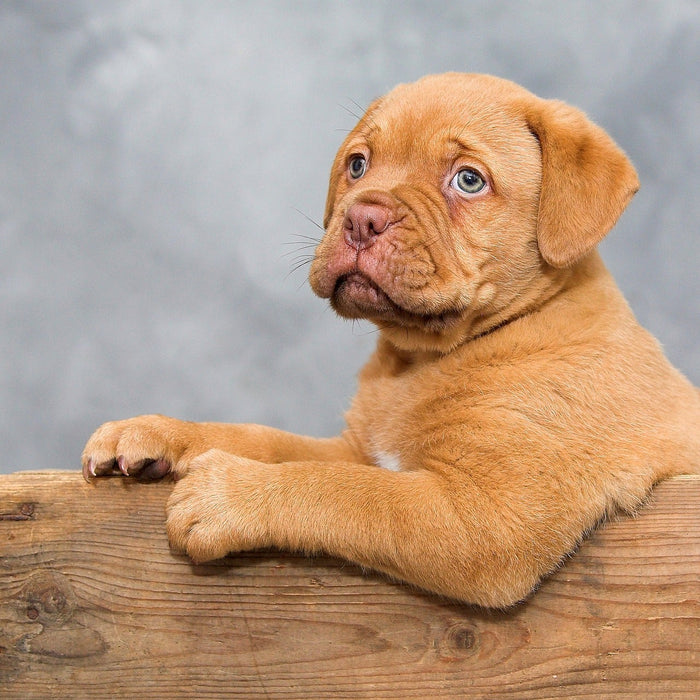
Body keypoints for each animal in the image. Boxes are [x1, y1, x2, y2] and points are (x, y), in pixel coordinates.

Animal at [83, 72, 700, 608]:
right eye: (358, 165)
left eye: (469, 180)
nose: (362, 219)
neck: (421, 360)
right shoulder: (357, 449)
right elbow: (269, 440)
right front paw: (158, 431)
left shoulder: (487, 518)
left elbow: (348, 492)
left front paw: (229, 495)